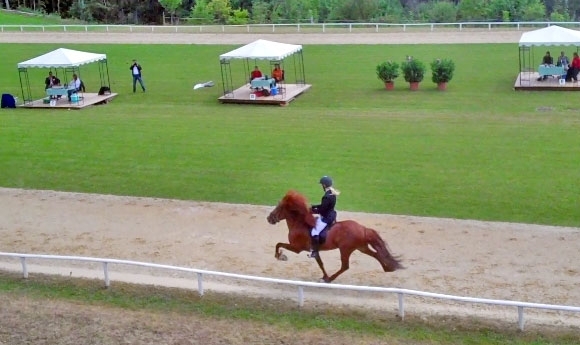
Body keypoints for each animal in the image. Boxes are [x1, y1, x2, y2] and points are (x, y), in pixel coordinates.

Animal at [268, 189, 404, 280]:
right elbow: (320, 263)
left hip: (345, 249)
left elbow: (278, 244)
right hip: (361, 247)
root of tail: (362, 228)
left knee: (345, 266)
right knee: (375, 254)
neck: (300, 224)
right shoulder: (314, 250)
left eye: (278, 208)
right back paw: (388, 268)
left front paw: (280, 256)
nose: (269, 218)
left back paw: (330, 279)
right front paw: (324, 276)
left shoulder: (297, 248)